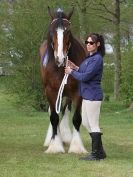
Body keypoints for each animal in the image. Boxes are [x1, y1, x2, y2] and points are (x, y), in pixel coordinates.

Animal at [39, 6, 87, 153]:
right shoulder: (50, 91)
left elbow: (76, 118)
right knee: (53, 112)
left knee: (65, 111)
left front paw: (76, 146)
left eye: (68, 31)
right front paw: (55, 145)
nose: (60, 58)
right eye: (51, 30)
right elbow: (54, 117)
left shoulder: (77, 92)